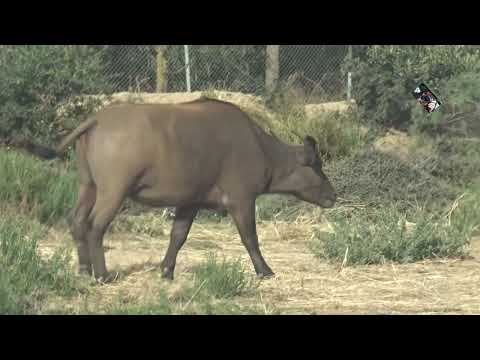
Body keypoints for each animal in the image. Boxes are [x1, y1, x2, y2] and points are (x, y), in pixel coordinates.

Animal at [15, 97, 338, 282]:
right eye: (318, 165)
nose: (333, 196)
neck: (262, 148)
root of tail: (98, 118)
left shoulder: (189, 202)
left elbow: (178, 236)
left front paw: (166, 271)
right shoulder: (242, 200)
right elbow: (250, 239)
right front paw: (265, 271)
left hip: (88, 186)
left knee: (78, 220)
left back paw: (83, 271)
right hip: (112, 191)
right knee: (95, 225)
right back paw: (102, 275)